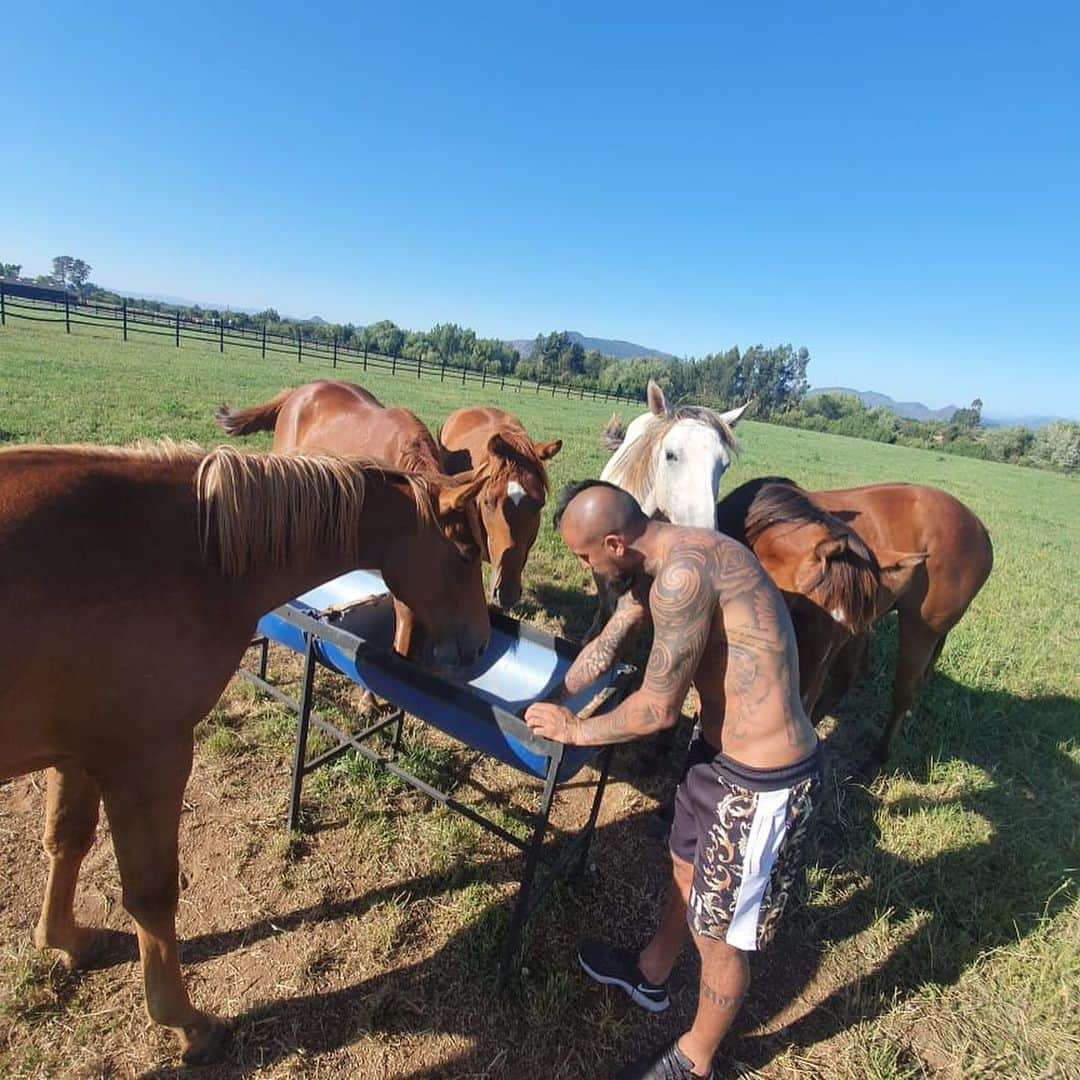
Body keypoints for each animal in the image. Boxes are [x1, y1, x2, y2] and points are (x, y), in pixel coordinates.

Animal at [0, 440, 490, 1062]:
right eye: (466, 553)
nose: (479, 645)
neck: (191, 554)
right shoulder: (147, 759)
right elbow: (153, 894)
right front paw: (184, 1022)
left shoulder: (80, 752)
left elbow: (66, 840)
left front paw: (64, 939)